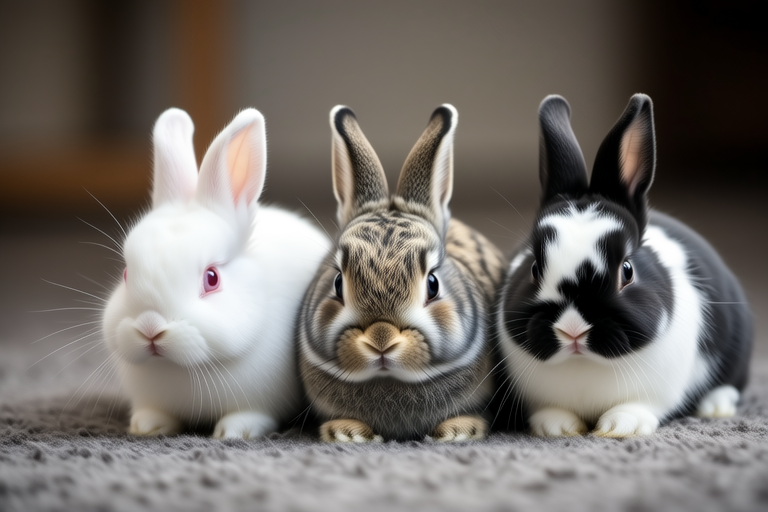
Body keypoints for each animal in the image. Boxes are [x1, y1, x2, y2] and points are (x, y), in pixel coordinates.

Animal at [102, 107, 331, 438]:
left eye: (212, 278)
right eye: (126, 274)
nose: (150, 328)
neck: (183, 370)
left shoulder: (260, 400)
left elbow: (250, 414)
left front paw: (235, 432)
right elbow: (156, 413)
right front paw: (146, 426)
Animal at [494, 94, 753, 438]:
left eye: (627, 271)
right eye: (535, 268)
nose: (572, 329)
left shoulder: (656, 393)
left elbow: (638, 406)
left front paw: (620, 427)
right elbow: (550, 410)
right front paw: (558, 427)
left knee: (731, 384)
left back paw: (715, 408)